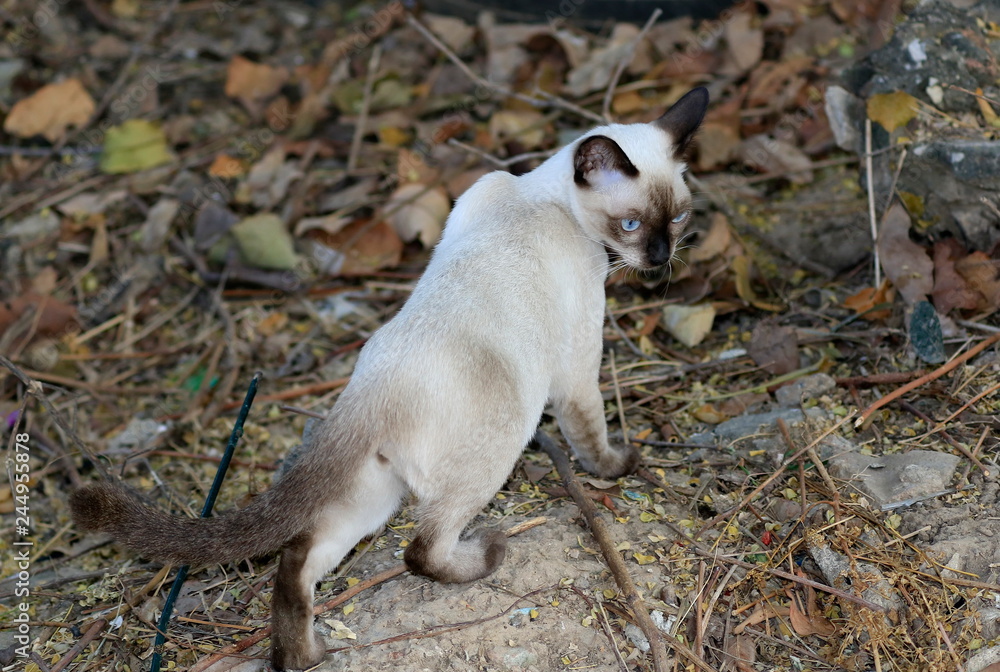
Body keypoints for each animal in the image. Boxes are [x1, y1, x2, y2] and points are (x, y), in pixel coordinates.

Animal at [70, 86, 708, 670]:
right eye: (630, 224)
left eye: (678, 217)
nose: (660, 259)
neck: (540, 197)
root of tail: (366, 396)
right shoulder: (577, 358)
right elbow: (592, 433)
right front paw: (620, 465)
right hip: (494, 449)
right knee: (420, 550)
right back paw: (488, 554)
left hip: (373, 495)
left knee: (298, 558)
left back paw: (301, 656)